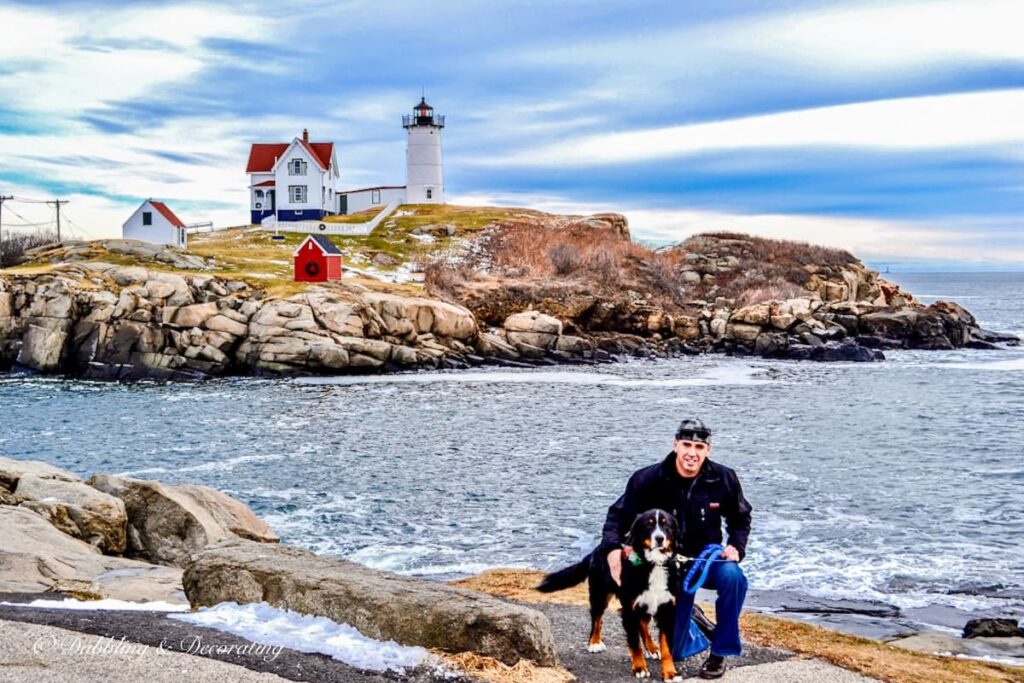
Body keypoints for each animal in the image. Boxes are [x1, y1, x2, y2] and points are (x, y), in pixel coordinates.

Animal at [536, 509, 688, 679]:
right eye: (648, 525)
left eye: (666, 525)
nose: (660, 538)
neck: (654, 564)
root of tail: (599, 547)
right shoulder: (629, 609)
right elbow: (635, 643)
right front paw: (640, 668)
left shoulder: (667, 609)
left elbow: (666, 647)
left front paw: (670, 673)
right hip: (599, 594)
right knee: (597, 619)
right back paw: (594, 642)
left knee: (643, 624)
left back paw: (652, 647)